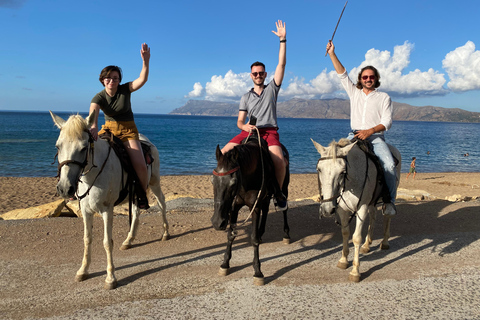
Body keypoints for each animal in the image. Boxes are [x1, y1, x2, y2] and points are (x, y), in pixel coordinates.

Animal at [50, 110, 170, 290]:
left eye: (83, 147)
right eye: (58, 146)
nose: (64, 188)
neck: (93, 175)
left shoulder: (107, 210)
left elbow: (107, 242)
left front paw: (110, 278)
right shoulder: (86, 211)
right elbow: (87, 239)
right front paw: (83, 271)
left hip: (154, 182)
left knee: (162, 203)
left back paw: (165, 233)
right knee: (136, 211)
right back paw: (129, 240)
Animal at [213, 138, 288, 284]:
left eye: (233, 182)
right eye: (213, 181)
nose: (218, 222)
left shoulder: (255, 208)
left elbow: (253, 239)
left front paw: (258, 272)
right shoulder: (234, 207)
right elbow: (231, 235)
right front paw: (225, 264)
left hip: (284, 188)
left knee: (284, 209)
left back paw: (286, 234)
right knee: (266, 209)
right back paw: (261, 232)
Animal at [312, 138, 402, 282]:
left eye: (342, 172)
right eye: (319, 169)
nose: (327, 209)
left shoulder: (362, 208)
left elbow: (356, 238)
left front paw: (355, 271)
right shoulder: (342, 210)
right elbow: (345, 233)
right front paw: (343, 260)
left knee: (387, 216)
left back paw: (384, 242)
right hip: (372, 201)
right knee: (373, 215)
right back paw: (367, 245)